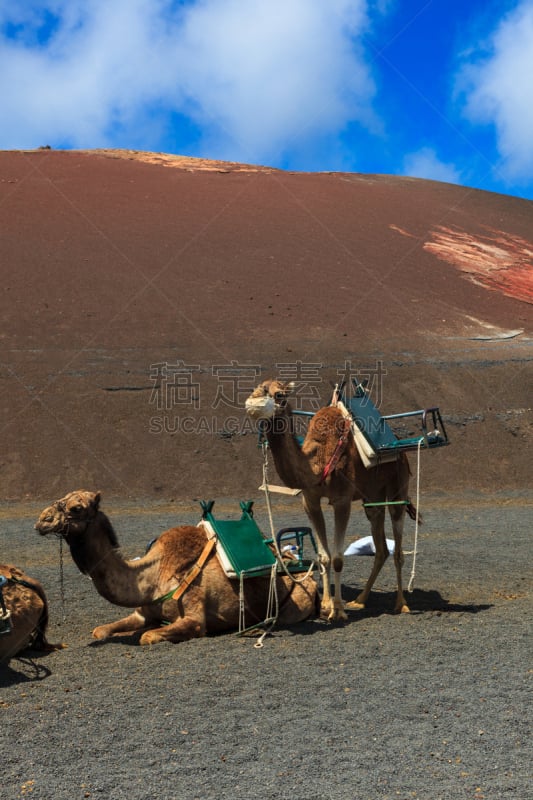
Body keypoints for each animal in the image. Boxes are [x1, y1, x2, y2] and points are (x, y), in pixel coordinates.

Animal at [35, 490, 318, 648]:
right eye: (61, 498)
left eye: (76, 507)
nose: (42, 520)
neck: (154, 577)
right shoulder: (142, 612)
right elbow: (101, 630)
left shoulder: (195, 618)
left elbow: (149, 636)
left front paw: (145, 633)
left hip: (296, 602)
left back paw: (258, 627)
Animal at [243, 380, 418, 620]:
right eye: (256, 388)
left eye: (279, 394)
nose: (252, 405)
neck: (317, 462)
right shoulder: (310, 501)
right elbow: (323, 557)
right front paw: (326, 606)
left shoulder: (342, 500)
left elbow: (337, 559)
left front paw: (339, 610)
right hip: (372, 498)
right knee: (381, 547)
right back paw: (360, 600)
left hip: (397, 489)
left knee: (398, 548)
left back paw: (401, 604)